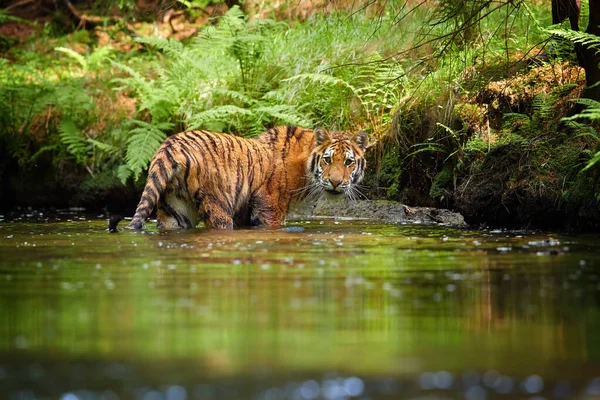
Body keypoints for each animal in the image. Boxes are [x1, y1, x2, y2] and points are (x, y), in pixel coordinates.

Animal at [109, 125, 368, 231]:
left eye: (348, 162)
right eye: (327, 159)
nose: (336, 182)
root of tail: (169, 147)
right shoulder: (269, 209)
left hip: (175, 211)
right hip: (218, 206)